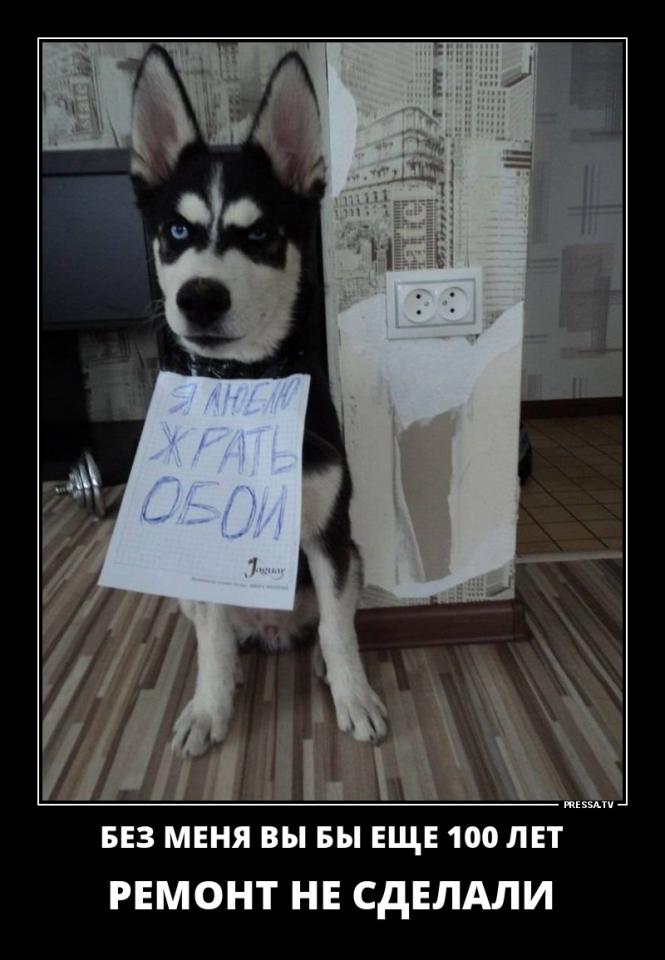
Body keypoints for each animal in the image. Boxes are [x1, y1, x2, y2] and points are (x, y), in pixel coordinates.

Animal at [129, 44, 388, 757]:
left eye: (262, 234)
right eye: (177, 229)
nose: (199, 298)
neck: (242, 386)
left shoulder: (328, 531)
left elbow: (339, 627)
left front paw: (353, 696)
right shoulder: (200, 553)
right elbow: (213, 642)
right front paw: (208, 708)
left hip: (353, 553)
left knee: (332, 618)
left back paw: (326, 663)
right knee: (214, 629)